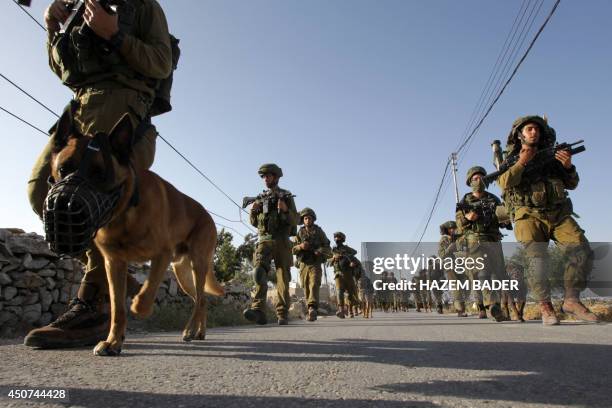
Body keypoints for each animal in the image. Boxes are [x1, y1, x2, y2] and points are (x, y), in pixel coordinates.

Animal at [48, 110, 225, 356]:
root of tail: (207, 215)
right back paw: (198, 331)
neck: (125, 212)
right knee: (201, 300)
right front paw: (113, 341)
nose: (65, 203)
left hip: (197, 263)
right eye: (63, 168)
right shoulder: (114, 264)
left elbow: (146, 293)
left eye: (100, 174)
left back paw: (191, 331)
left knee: (199, 299)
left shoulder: (161, 255)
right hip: (181, 272)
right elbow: (117, 309)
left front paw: (138, 306)